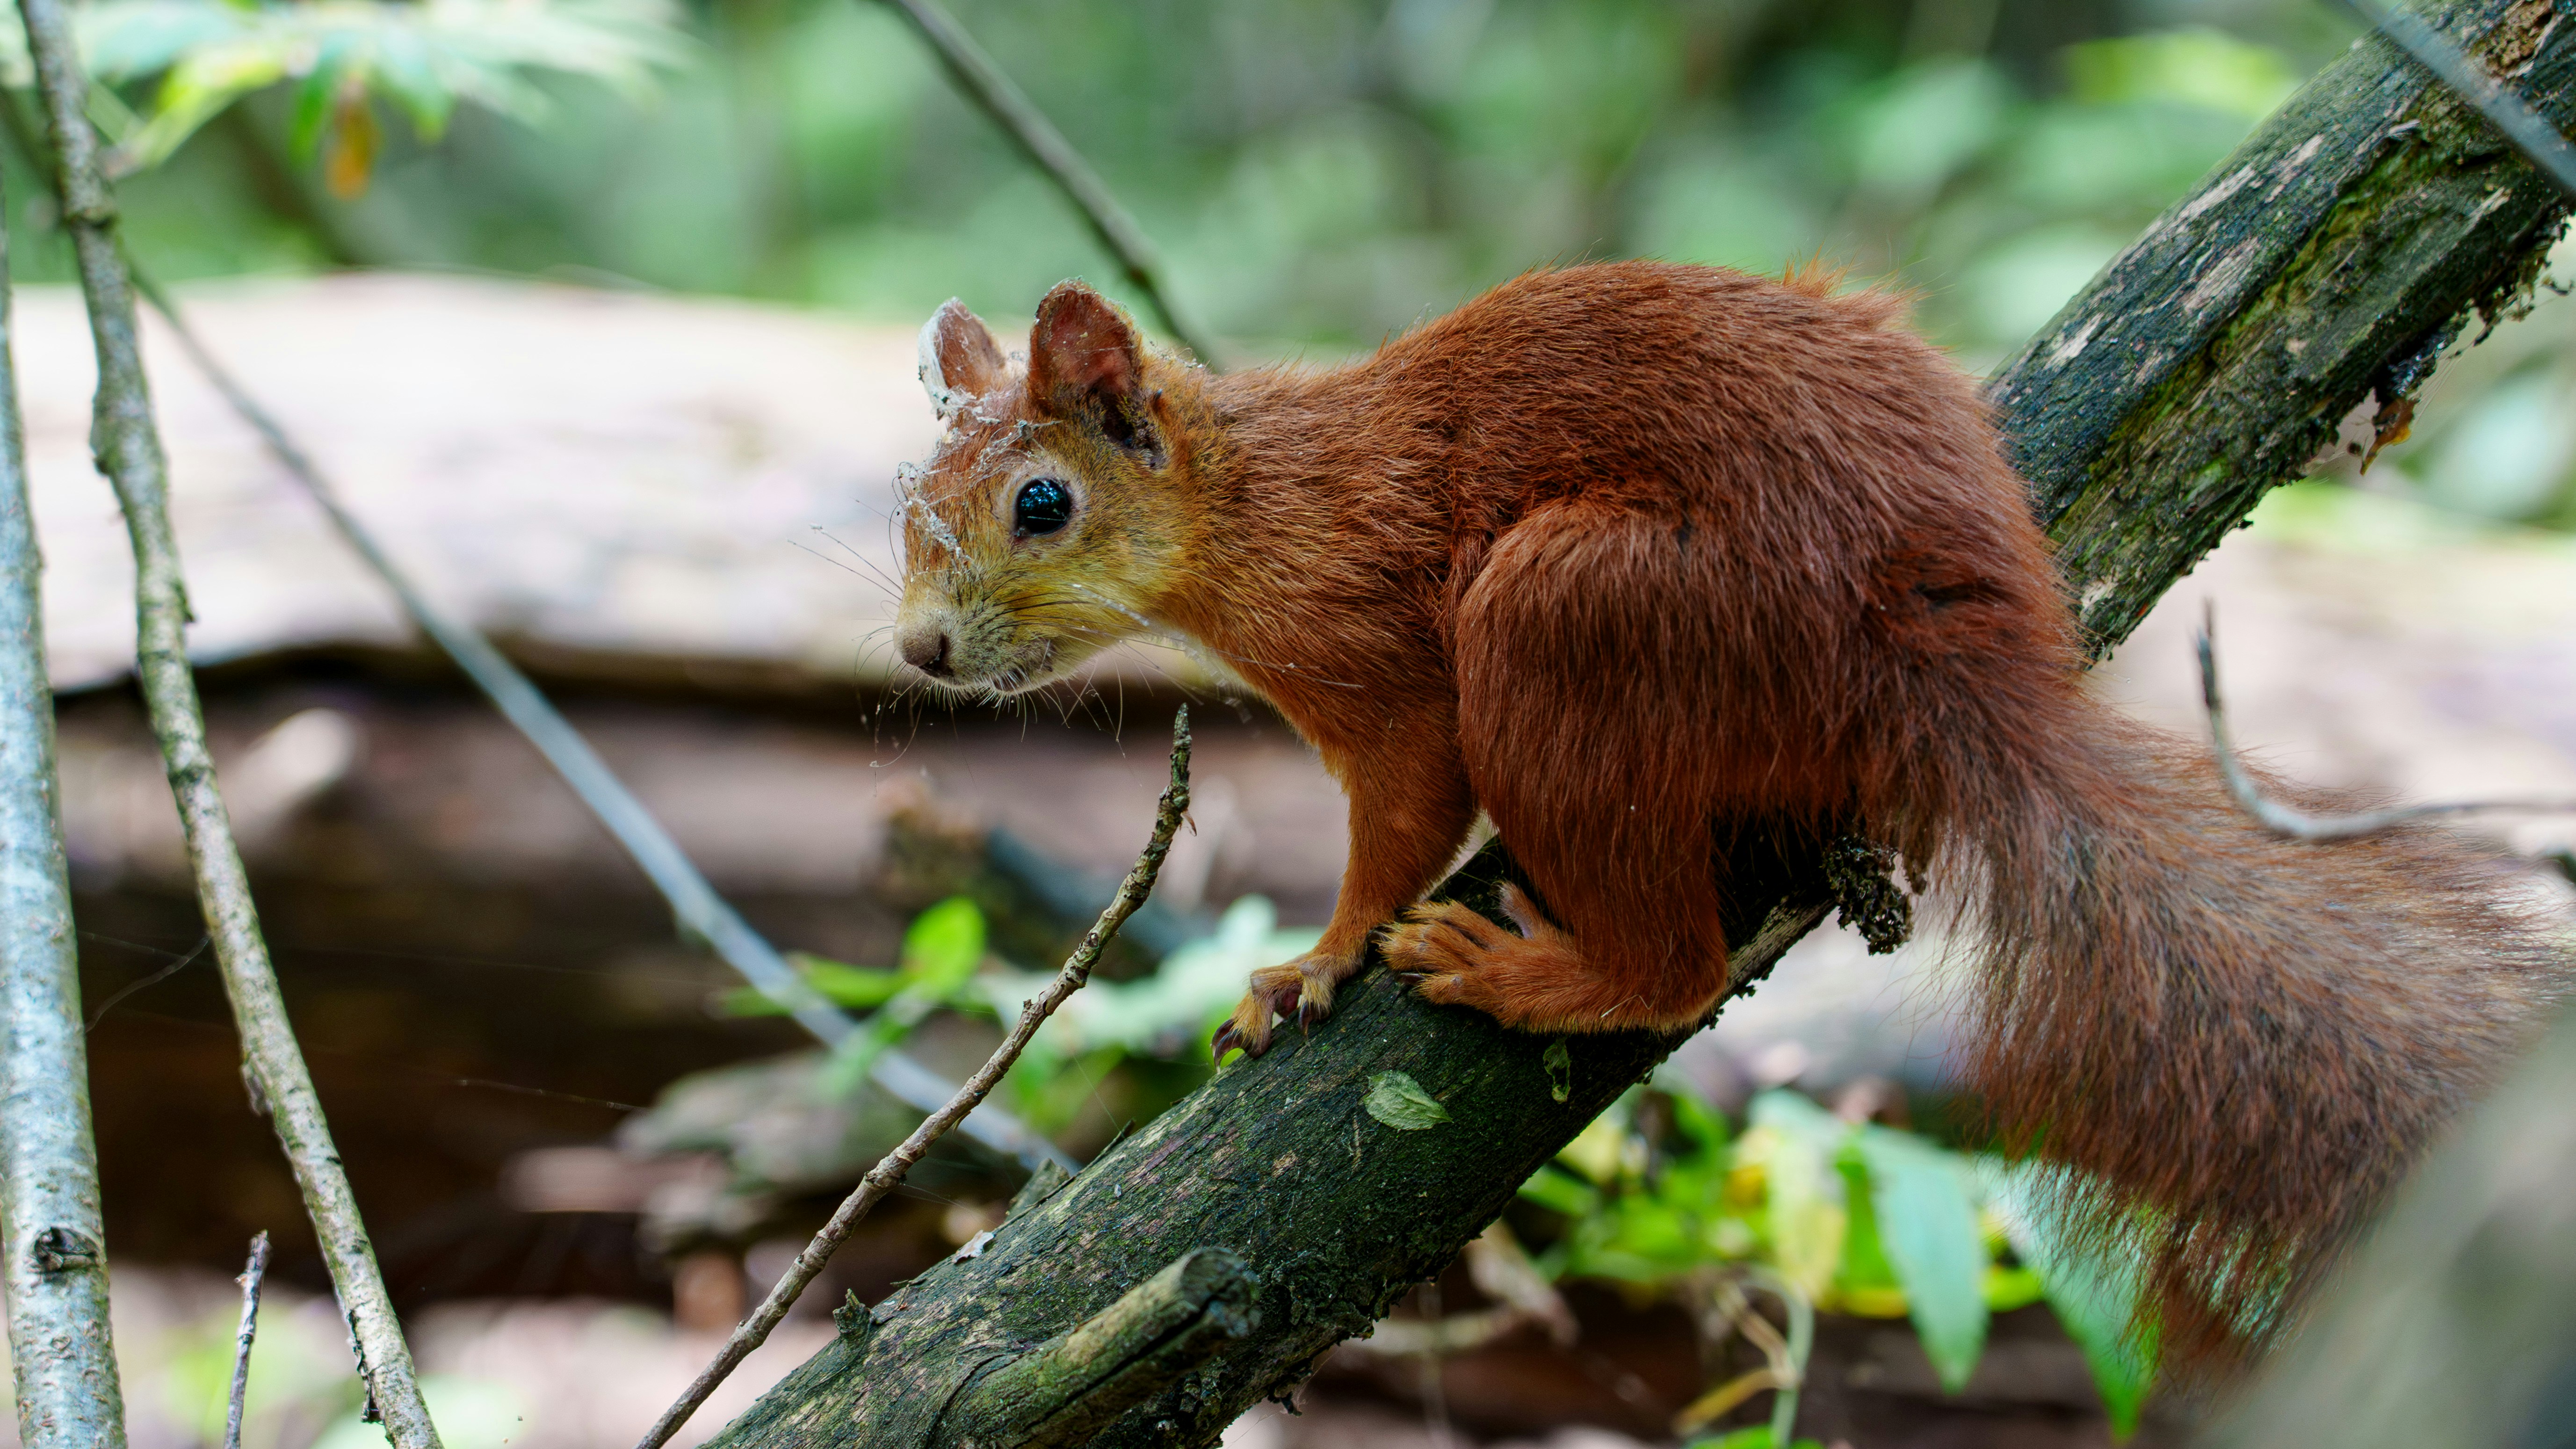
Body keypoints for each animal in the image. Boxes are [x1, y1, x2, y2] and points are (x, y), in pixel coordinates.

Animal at [887, 260, 2570, 1363]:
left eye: (1042, 503)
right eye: (904, 505)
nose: (919, 652)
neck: (1259, 500)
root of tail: (1942, 674)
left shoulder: (1383, 665)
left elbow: (1400, 822)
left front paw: (1313, 960)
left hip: (1570, 611)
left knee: (1674, 968)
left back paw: (1537, 969)